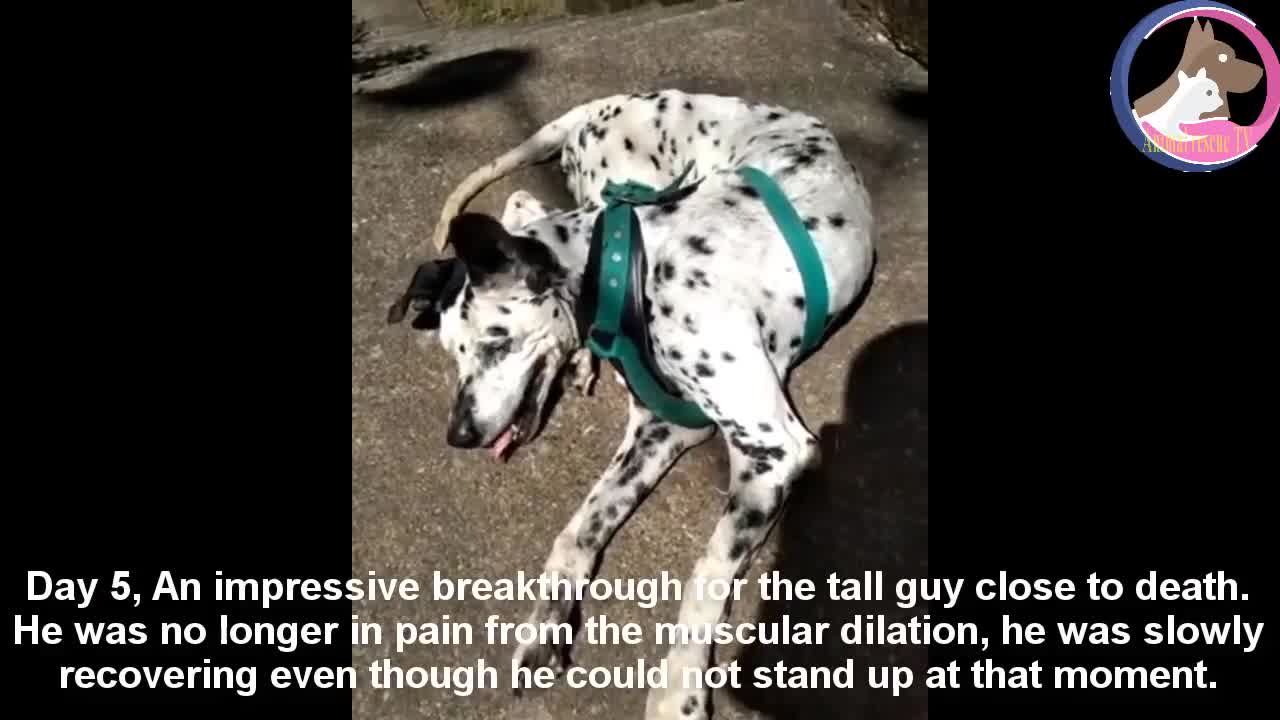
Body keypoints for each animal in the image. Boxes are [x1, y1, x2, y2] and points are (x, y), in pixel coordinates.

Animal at [384, 89, 875, 717]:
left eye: (497, 342)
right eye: (452, 351)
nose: (459, 435)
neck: (618, 266)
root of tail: (599, 105)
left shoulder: (770, 448)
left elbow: (707, 570)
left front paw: (679, 686)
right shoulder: (660, 426)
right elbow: (579, 527)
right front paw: (545, 625)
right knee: (521, 203)